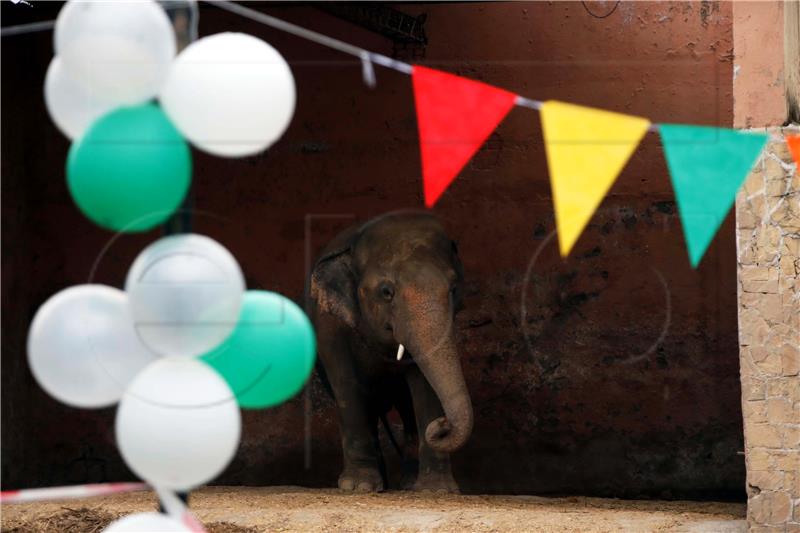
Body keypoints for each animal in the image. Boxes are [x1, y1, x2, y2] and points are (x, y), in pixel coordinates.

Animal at [304, 210, 468, 492]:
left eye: (453, 288)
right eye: (386, 292)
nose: (442, 425)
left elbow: (426, 385)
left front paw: (436, 489)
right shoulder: (330, 328)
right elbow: (347, 385)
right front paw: (357, 487)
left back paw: (408, 483)